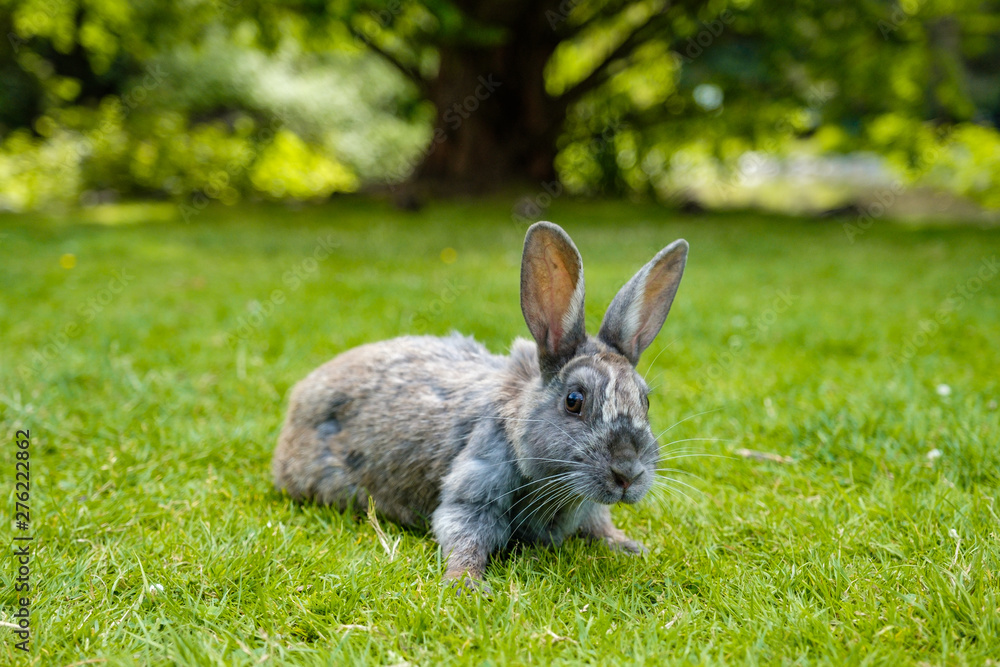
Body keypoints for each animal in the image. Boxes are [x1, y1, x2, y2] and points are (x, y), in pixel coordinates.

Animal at [272, 221, 688, 588]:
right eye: (574, 401)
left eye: (645, 400)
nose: (628, 473)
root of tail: (300, 396)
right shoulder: (474, 487)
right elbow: (464, 534)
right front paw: (464, 583)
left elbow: (601, 526)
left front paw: (631, 546)